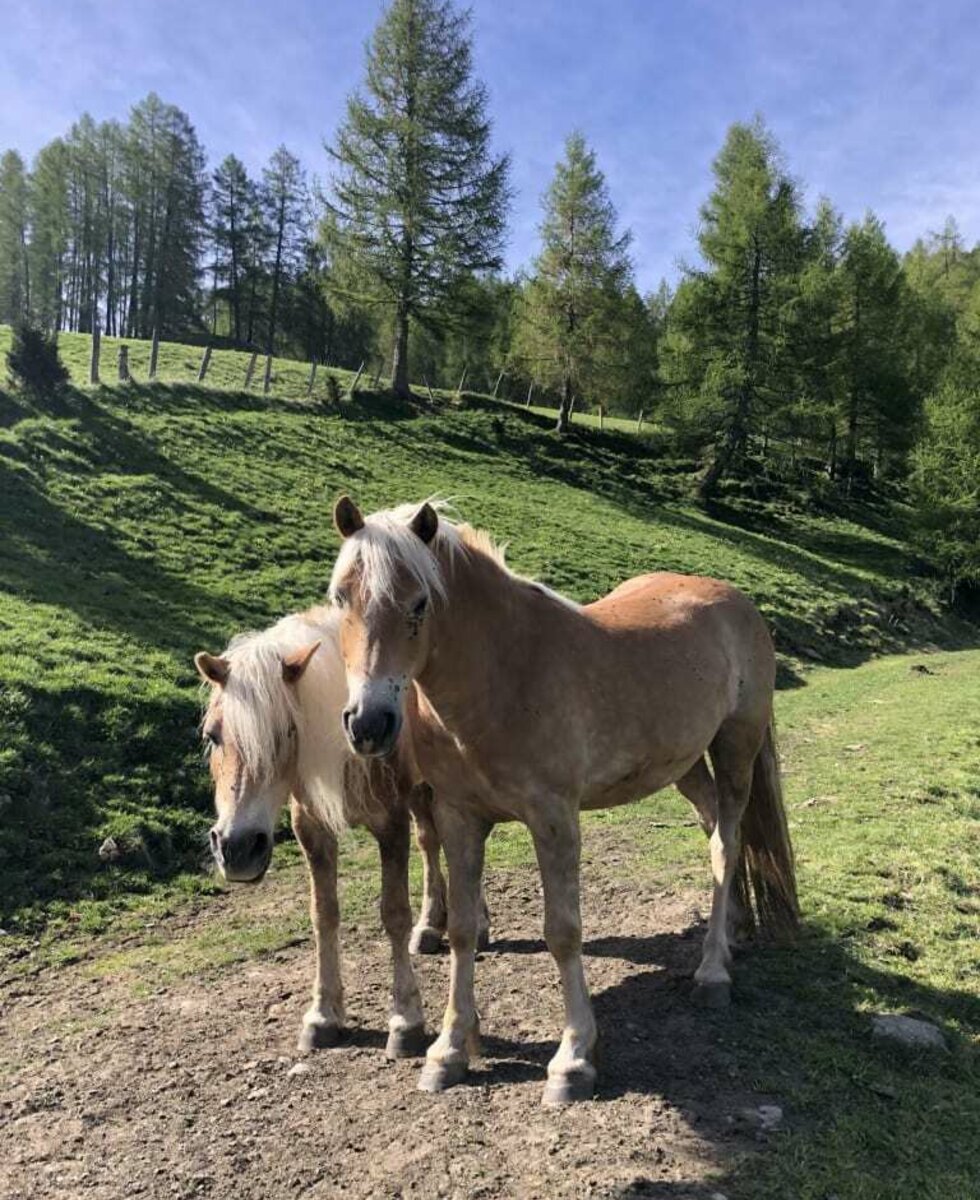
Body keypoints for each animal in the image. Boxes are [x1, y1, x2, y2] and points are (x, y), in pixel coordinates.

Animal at [323, 496, 801, 1104]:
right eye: (341, 597)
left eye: (419, 602)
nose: (368, 724)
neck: (503, 674)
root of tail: (734, 598)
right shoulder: (459, 818)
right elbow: (461, 931)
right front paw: (447, 1052)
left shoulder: (553, 818)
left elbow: (564, 932)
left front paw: (573, 1060)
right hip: (686, 765)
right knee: (716, 828)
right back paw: (733, 931)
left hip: (736, 748)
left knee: (726, 842)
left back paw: (712, 972)